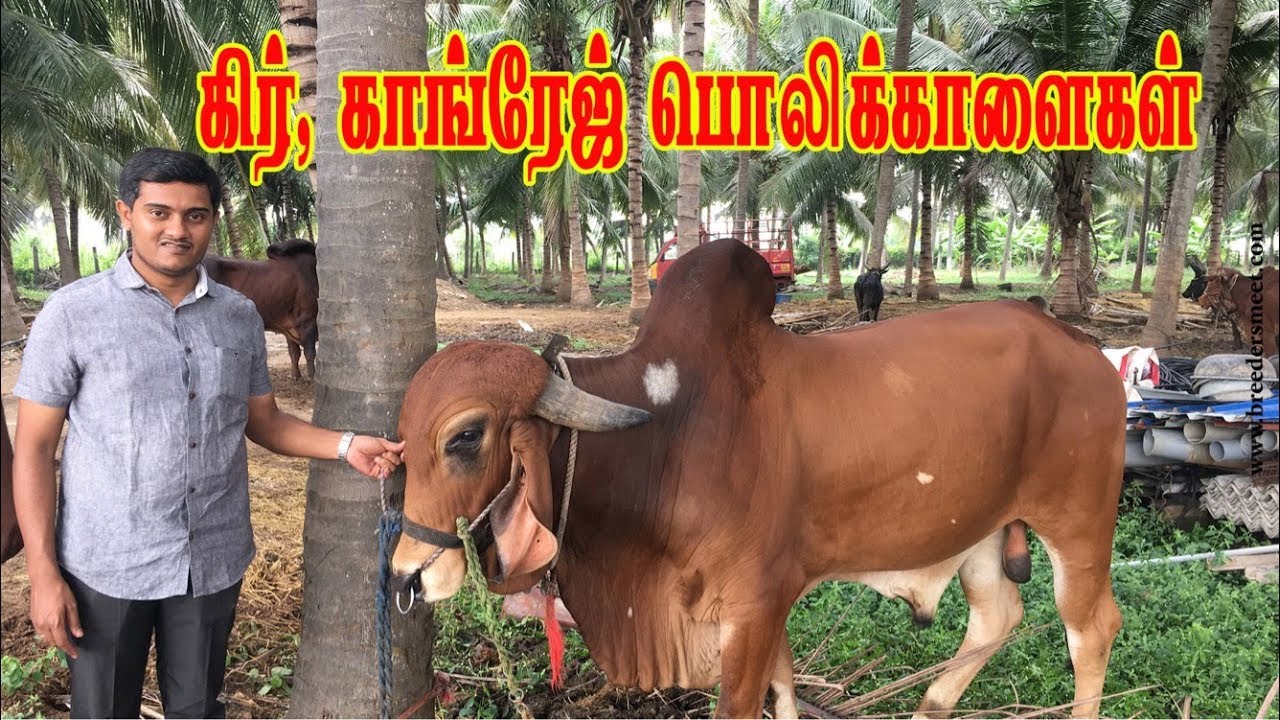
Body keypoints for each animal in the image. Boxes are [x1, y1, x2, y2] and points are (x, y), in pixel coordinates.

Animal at [200, 239, 319, 380]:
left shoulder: (290, 325)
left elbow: (294, 353)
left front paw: (296, 376)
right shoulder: (308, 320)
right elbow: (310, 353)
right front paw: (313, 377)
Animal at [391, 239, 1126, 719]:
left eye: (465, 435)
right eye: (400, 440)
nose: (406, 575)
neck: (666, 435)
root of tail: (1084, 349)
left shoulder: (755, 602)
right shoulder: (756, 608)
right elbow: (784, 687)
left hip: (1078, 524)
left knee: (1092, 631)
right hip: (980, 529)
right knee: (997, 617)